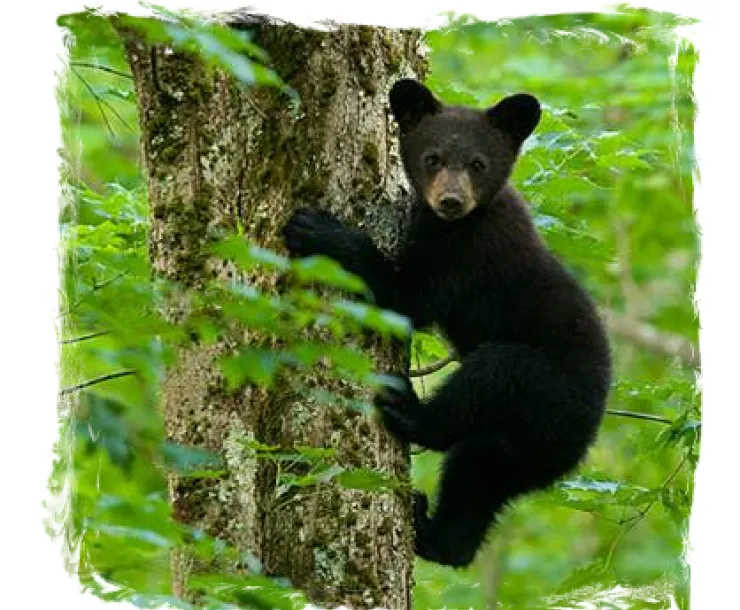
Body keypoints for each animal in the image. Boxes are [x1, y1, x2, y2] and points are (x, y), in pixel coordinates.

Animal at [281, 79, 611, 568]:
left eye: (478, 164)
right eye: (432, 157)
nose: (451, 201)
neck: (457, 224)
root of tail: (580, 444)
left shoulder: (469, 256)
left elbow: (406, 301)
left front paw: (317, 229)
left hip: (547, 390)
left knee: (492, 375)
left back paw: (408, 411)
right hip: (513, 452)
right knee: (474, 480)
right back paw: (434, 535)